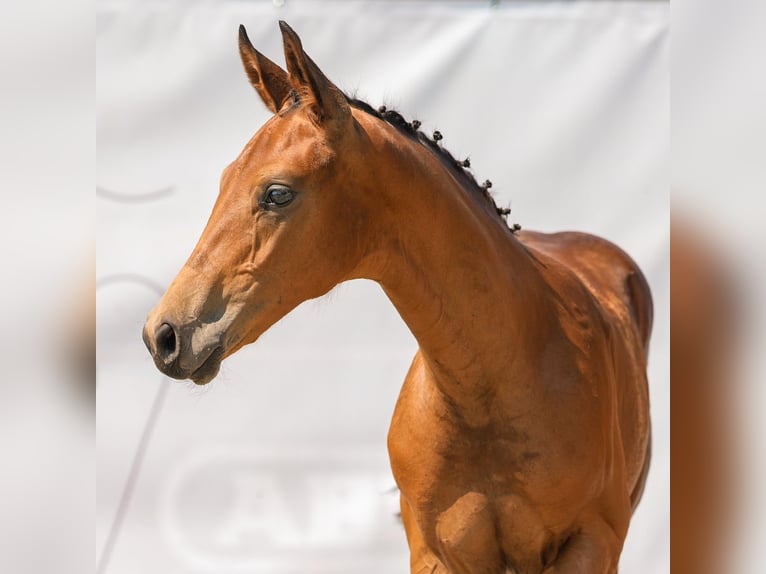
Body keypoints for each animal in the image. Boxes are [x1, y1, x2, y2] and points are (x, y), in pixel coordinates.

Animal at [142, 22, 656, 574]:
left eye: (278, 193)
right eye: (224, 180)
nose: (163, 334)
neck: (491, 395)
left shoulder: (591, 545)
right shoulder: (433, 553)